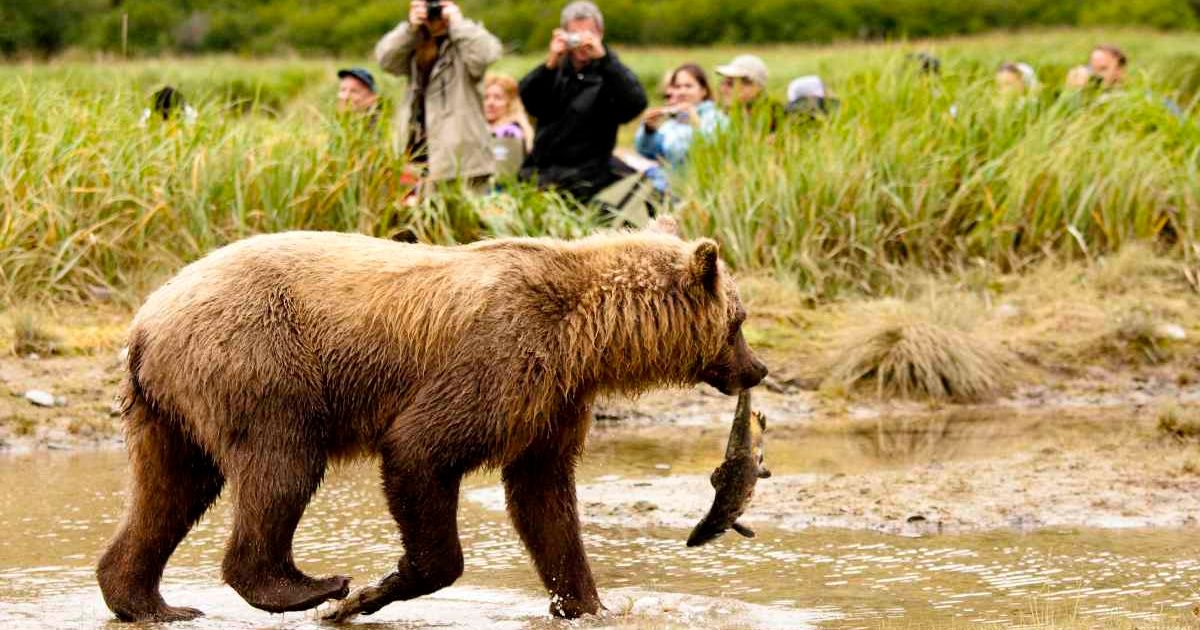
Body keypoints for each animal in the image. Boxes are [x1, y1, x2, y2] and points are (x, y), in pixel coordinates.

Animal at [96, 219, 767, 622]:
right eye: (737, 320)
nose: (757, 369)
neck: (587, 335)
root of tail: (146, 320)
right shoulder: (500, 356)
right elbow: (422, 450)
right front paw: (373, 591)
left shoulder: (552, 401)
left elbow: (544, 499)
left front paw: (585, 603)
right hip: (262, 363)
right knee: (280, 467)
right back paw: (309, 586)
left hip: (169, 408)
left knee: (170, 490)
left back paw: (147, 601)